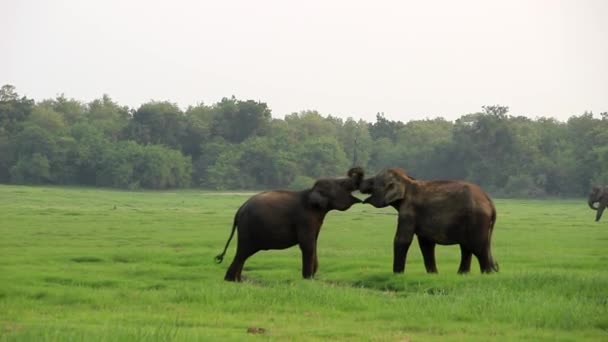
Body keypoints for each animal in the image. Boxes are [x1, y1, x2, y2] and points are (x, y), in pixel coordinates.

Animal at [215, 167, 364, 282]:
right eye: (343, 183)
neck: (311, 190)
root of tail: (239, 210)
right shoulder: (305, 218)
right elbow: (307, 244)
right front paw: (308, 280)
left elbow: (313, 243)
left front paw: (311, 277)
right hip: (248, 229)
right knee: (242, 253)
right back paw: (230, 281)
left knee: (243, 255)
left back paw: (237, 281)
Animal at [356, 168, 498, 276]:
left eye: (373, 181)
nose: (358, 174)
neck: (407, 181)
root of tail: (490, 202)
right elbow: (426, 244)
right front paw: (433, 275)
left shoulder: (408, 211)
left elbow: (402, 240)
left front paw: (397, 275)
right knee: (466, 247)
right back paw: (462, 275)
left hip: (477, 219)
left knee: (477, 246)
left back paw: (487, 274)